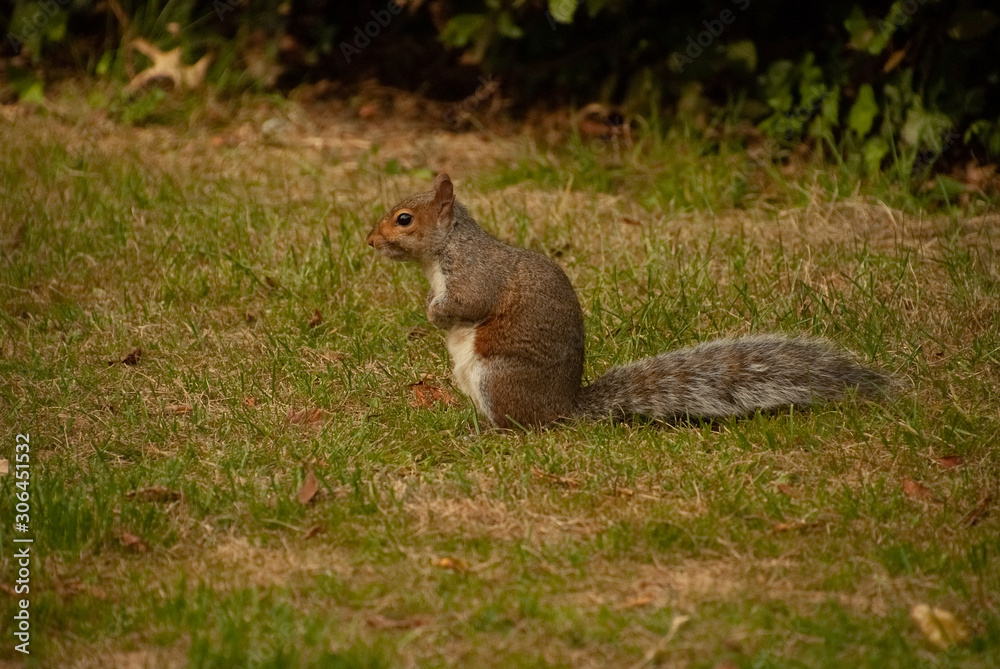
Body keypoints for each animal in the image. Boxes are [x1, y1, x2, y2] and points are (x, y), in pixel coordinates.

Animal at [366, 174, 890, 429]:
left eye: (404, 219)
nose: (370, 241)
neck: (444, 252)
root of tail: (563, 409)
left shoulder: (476, 275)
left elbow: (468, 303)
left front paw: (434, 312)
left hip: (498, 377)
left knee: (519, 427)